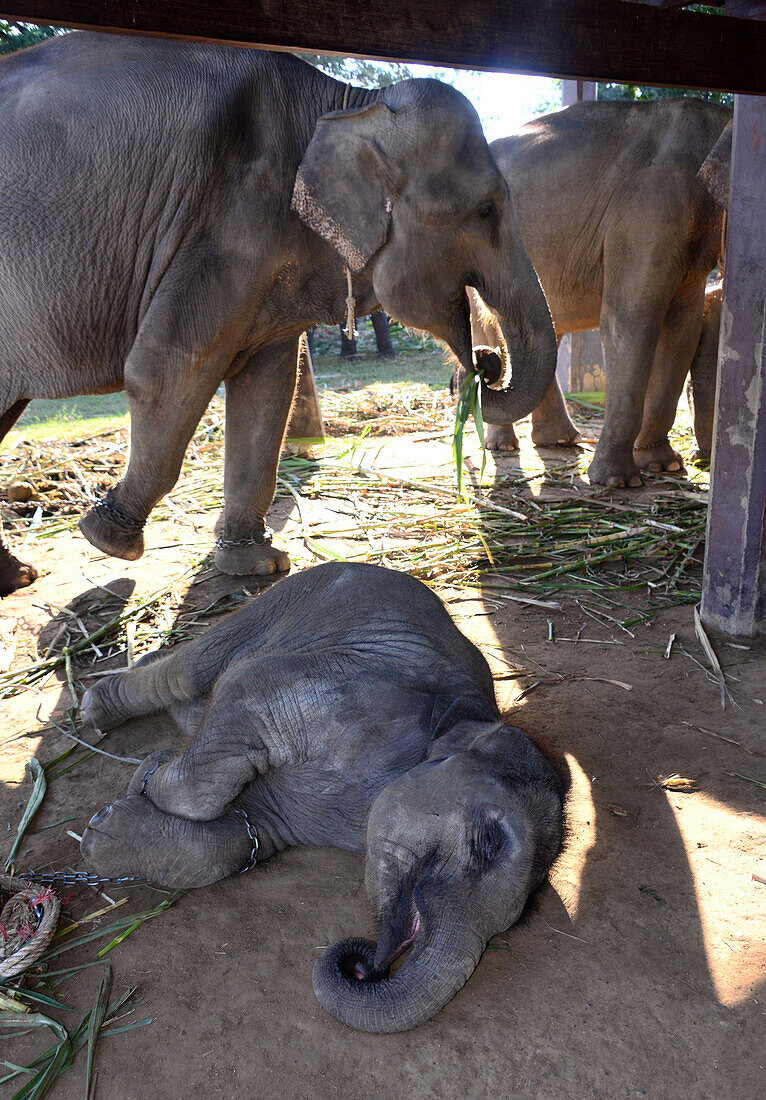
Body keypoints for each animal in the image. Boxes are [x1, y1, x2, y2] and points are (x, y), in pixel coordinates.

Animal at [0, 34, 552, 598]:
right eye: (486, 211)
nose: (485, 361)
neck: (348, 103)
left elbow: (267, 391)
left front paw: (258, 566)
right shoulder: (223, 221)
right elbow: (169, 369)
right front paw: (109, 539)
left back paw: (15, 576)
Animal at [80, 563, 563, 1034]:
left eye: (524, 915)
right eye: (489, 842)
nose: (365, 966)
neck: (465, 722)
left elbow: (244, 836)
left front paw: (106, 833)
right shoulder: (343, 696)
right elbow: (241, 697)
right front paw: (144, 779)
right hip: (281, 603)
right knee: (187, 672)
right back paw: (95, 711)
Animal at [473, 97, 730, 486]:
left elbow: (680, 334)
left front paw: (662, 465)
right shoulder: (647, 211)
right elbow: (630, 324)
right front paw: (618, 482)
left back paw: (559, 441)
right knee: (490, 326)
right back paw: (504, 444)